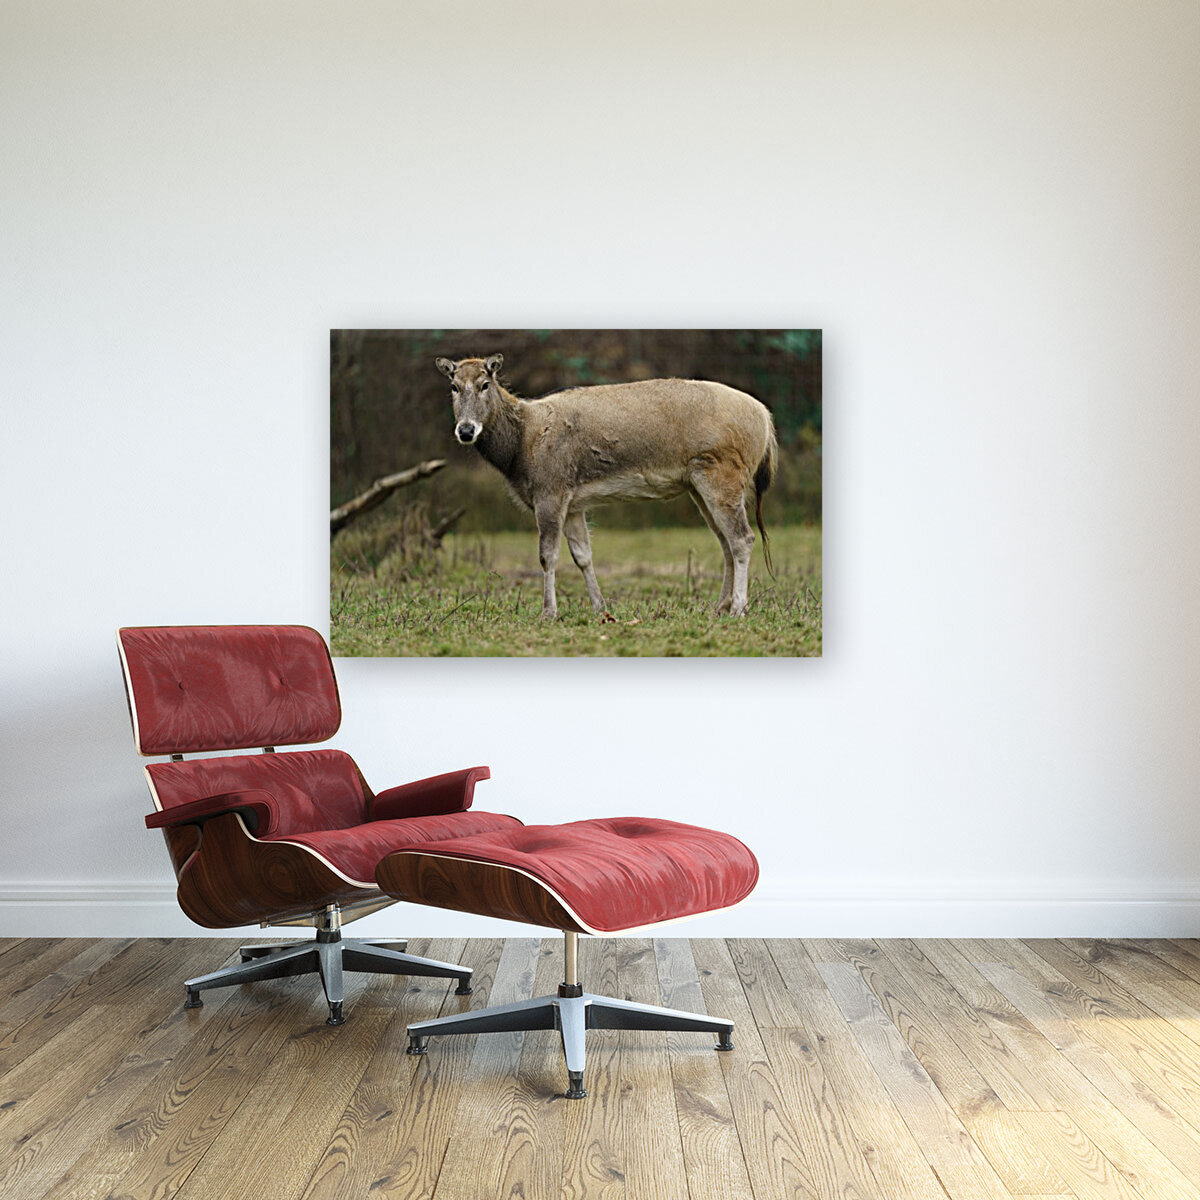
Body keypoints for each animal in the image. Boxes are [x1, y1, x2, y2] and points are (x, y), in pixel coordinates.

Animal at [436, 353, 778, 619]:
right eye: (454, 386)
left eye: (484, 384)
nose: (466, 430)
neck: (520, 452)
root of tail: (766, 420)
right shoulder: (573, 503)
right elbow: (583, 555)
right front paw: (601, 608)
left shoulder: (550, 490)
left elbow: (547, 555)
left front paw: (549, 612)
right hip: (698, 485)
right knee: (725, 541)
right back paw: (720, 606)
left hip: (722, 473)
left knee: (743, 538)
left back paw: (739, 608)